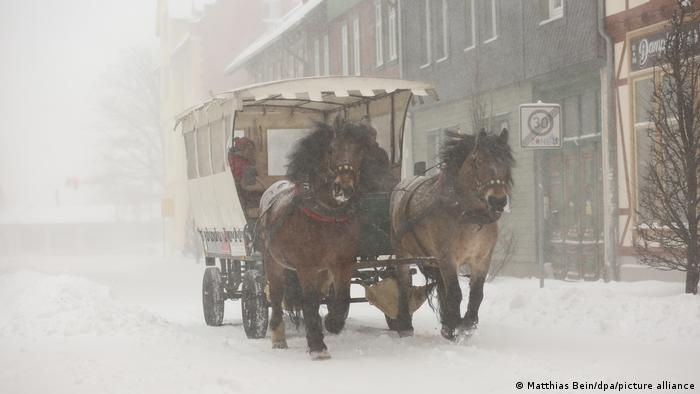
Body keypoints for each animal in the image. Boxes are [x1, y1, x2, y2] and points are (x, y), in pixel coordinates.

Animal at [258, 120, 378, 360]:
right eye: (331, 150)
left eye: (359, 151)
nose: (344, 188)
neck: (326, 214)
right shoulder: (306, 266)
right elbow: (310, 302)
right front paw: (317, 345)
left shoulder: (342, 263)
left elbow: (342, 297)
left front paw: (332, 323)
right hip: (273, 262)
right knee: (275, 296)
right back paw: (278, 337)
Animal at [392, 129, 512, 342]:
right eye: (476, 161)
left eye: (506, 161)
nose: (498, 201)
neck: (468, 215)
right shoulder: (447, 257)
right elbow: (455, 292)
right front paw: (456, 327)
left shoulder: (482, 259)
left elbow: (476, 293)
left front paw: (467, 324)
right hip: (402, 251)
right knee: (404, 283)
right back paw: (405, 324)